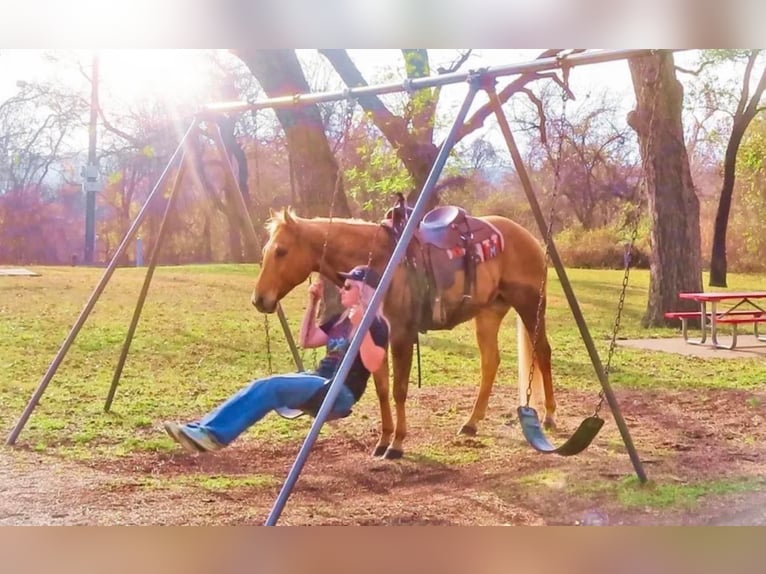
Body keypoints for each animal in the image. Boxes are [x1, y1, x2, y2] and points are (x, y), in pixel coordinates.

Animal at [254, 209, 560, 462]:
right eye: (265, 251)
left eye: (281, 251)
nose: (259, 300)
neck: (379, 265)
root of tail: (528, 237)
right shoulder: (375, 339)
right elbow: (382, 390)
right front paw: (383, 440)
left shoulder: (401, 336)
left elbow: (399, 390)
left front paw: (397, 444)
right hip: (488, 314)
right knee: (490, 362)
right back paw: (471, 423)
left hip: (530, 307)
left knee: (543, 353)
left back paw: (549, 416)